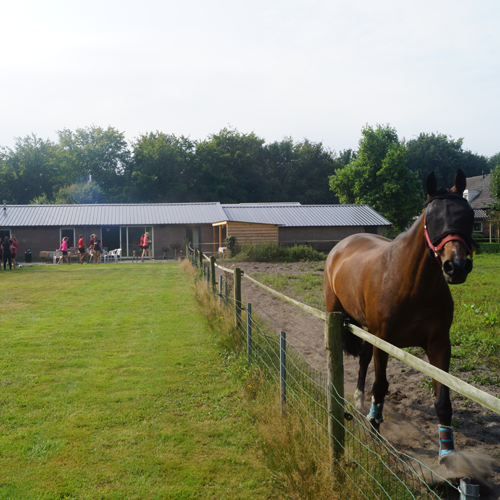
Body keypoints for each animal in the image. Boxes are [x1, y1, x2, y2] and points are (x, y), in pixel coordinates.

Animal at [324, 169, 472, 464]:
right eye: (432, 217)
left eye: (469, 215)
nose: (456, 265)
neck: (411, 285)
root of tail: (342, 245)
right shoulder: (384, 342)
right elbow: (380, 386)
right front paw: (374, 430)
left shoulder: (439, 345)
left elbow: (443, 401)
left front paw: (447, 453)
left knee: (363, 359)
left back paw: (359, 398)